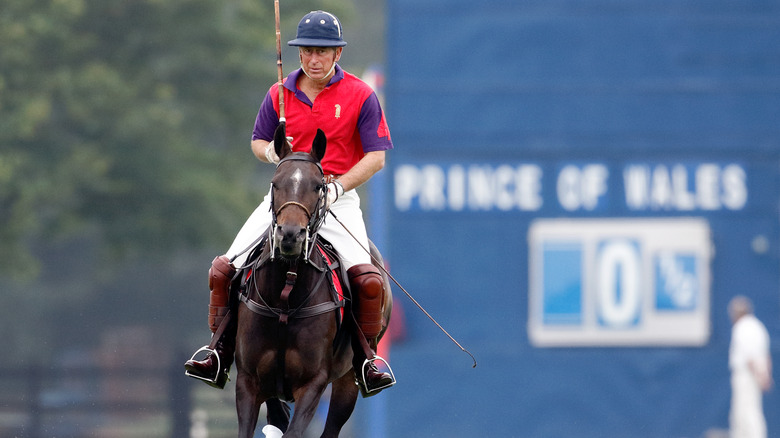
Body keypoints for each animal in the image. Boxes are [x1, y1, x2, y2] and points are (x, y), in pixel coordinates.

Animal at [232, 124, 390, 438]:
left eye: (319, 186)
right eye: (275, 183)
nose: (290, 236)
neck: (285, 293)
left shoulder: (313, 383)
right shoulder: (249, 380)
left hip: (347, 379)